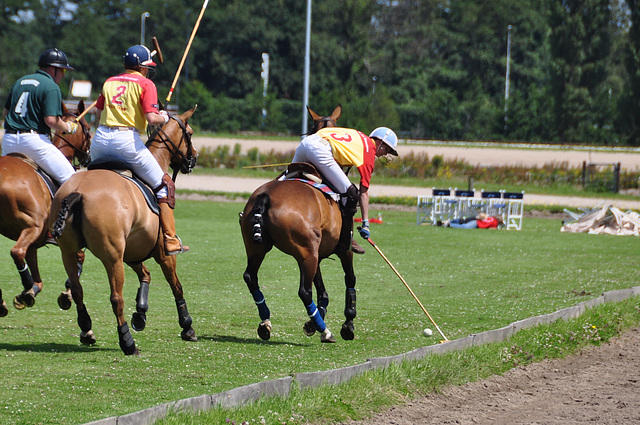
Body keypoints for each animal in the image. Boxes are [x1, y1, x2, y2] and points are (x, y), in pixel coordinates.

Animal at [0, 101, 91, 316]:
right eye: (88, 129)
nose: (88, 158)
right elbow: (80, 256)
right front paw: (67, 293)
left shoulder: (34, 243)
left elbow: (39, 279)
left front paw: (29, 292)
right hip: (34, 224)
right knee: (16, 251)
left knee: (20, 253)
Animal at [50, 106, 198, 354]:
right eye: (190, 133)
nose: (194, 158)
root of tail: (77, 192)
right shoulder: (161, 254)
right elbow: (176, 286)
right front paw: (187, 326)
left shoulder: (130, 251)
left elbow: (145, 274)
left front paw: (140, 313)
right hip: (111, 256)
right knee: (116, 297)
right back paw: (127, 342)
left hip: (69, 251)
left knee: (78, 289)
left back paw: (87, 329)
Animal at [238, 104, 358, 342]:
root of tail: (265, 196)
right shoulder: (342, 249)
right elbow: (349, 279)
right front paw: (347, 324)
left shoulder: (318, 252)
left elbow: (323, 291)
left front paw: (313, 322)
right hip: (306, 252)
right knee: (304, 290)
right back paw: (325, 331)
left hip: (262, 248)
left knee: (251, 277)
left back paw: (265, 323)